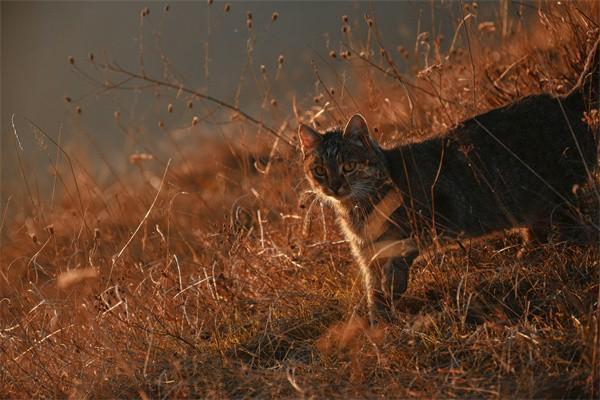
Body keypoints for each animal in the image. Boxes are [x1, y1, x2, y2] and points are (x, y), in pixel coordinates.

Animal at [300, 38, 600, 324]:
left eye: (348, 166)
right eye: (320, 170)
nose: (334, 185)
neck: (357, 209)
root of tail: (564, 99)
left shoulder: (412, 234)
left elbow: (393, 277)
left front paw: (387, 308)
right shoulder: (367, 256)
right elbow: (373, 292)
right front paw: (374, 322)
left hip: (556, 197)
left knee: (571, 229)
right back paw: (524, 258)